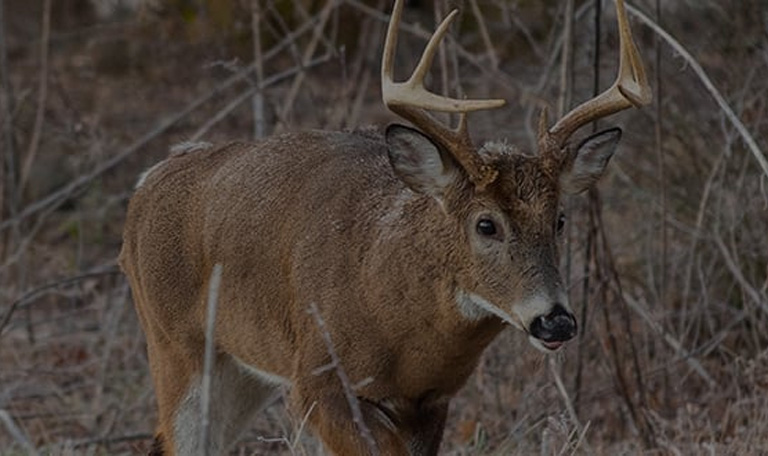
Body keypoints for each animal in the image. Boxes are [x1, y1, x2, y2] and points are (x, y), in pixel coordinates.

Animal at [118, 0, 648, 454]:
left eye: (559, 220)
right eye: (486, 224)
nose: (555, 320)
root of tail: (146, 184)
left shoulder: (430, 402)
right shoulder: (320, 379)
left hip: (245, 370)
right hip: (175, 345)